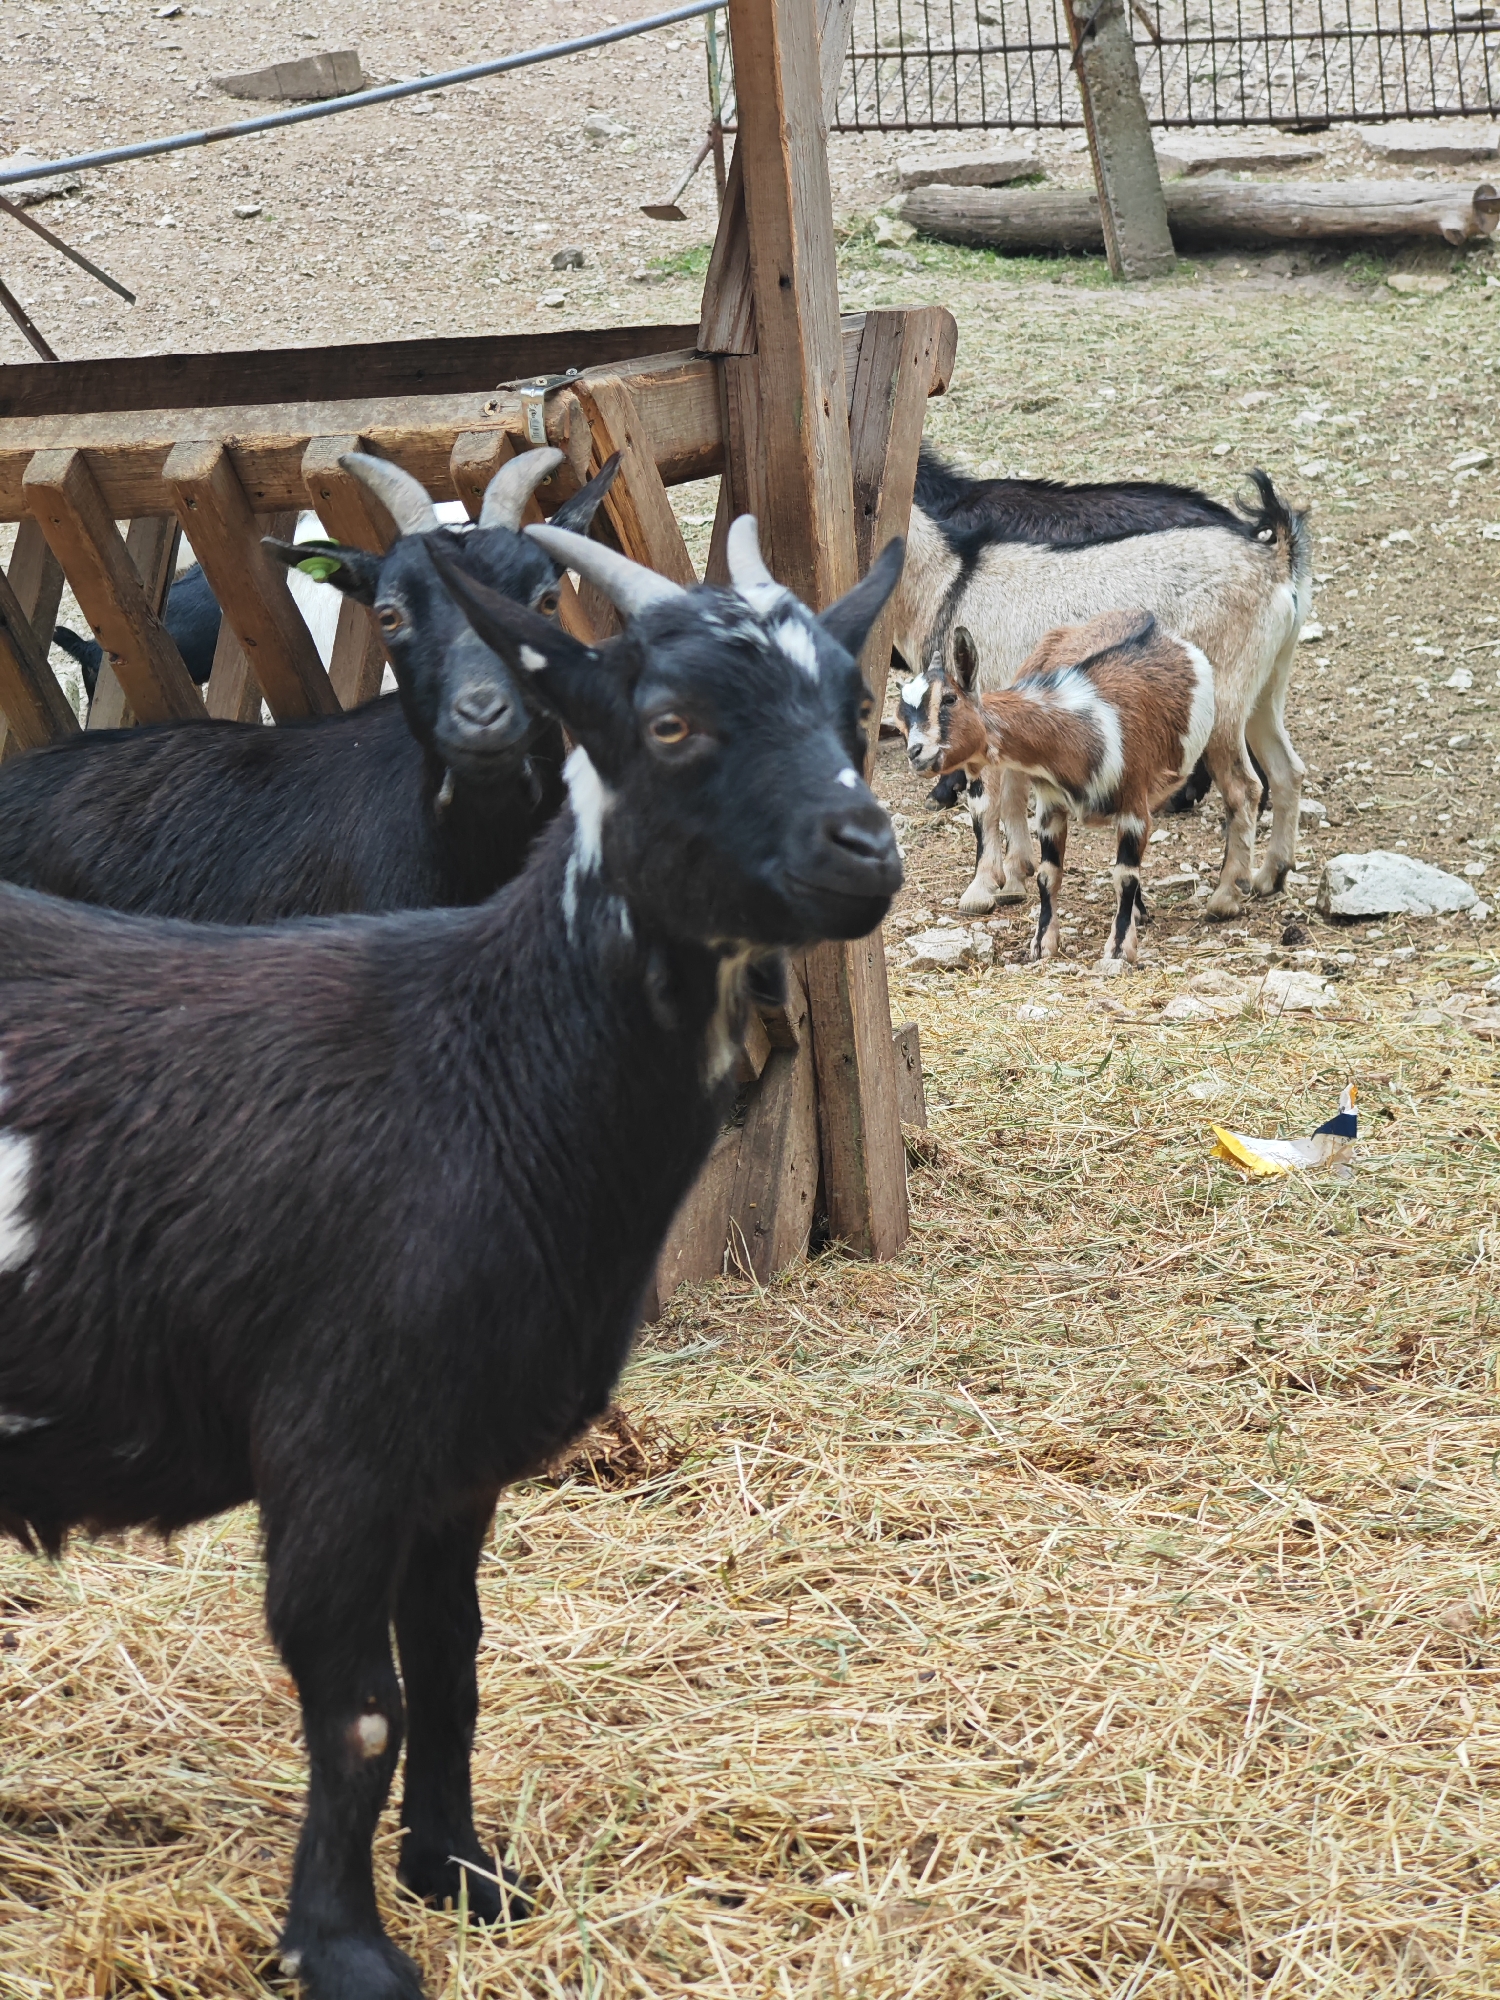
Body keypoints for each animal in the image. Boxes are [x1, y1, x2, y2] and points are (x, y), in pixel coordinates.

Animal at [0, 517, 904, 2000]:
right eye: (669, 722)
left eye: (855, 704)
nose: (866, 851)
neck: (488, 1068)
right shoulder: (334, 1442)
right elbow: (360, 1707)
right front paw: (345, 1947)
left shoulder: (458, 1451)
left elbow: (453, 1662)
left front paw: (463, 1874)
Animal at [891, 463, 1310, 921]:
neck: (948, 584)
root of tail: (1275, 562)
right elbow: (1014, 798)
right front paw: (1016, 879)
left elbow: (986, 806)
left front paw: (980, 889)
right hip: (1267, 686)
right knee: (1287, 770)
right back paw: (1271, 876)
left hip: (1225, 700)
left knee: (1244, 787)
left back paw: (1226, 895)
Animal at [908, 614, 1215, 966]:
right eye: (905, 708)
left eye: (949, 698)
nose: (915, 753)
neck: (1080, 731)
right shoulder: (1050, 806)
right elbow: (1047, 875)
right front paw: (1042, 943)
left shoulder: (1133, 806)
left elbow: (1126, 876)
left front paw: (1119, 947)